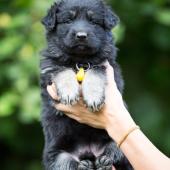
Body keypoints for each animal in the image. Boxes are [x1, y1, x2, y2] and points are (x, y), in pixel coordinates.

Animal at [40, 0, 133, 169]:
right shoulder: (49, 73)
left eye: (93, 21)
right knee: (68, 163)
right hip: (57, 156)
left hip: (120, 145)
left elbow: (95, 73)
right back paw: (85, 165)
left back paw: (104, 162)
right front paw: (69, 93)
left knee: (115, 153)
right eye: (68, 20)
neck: (80, 61)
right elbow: (63, 71)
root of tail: (89, 152)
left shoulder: (107, 67)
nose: (81, 36)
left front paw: (93, 98)